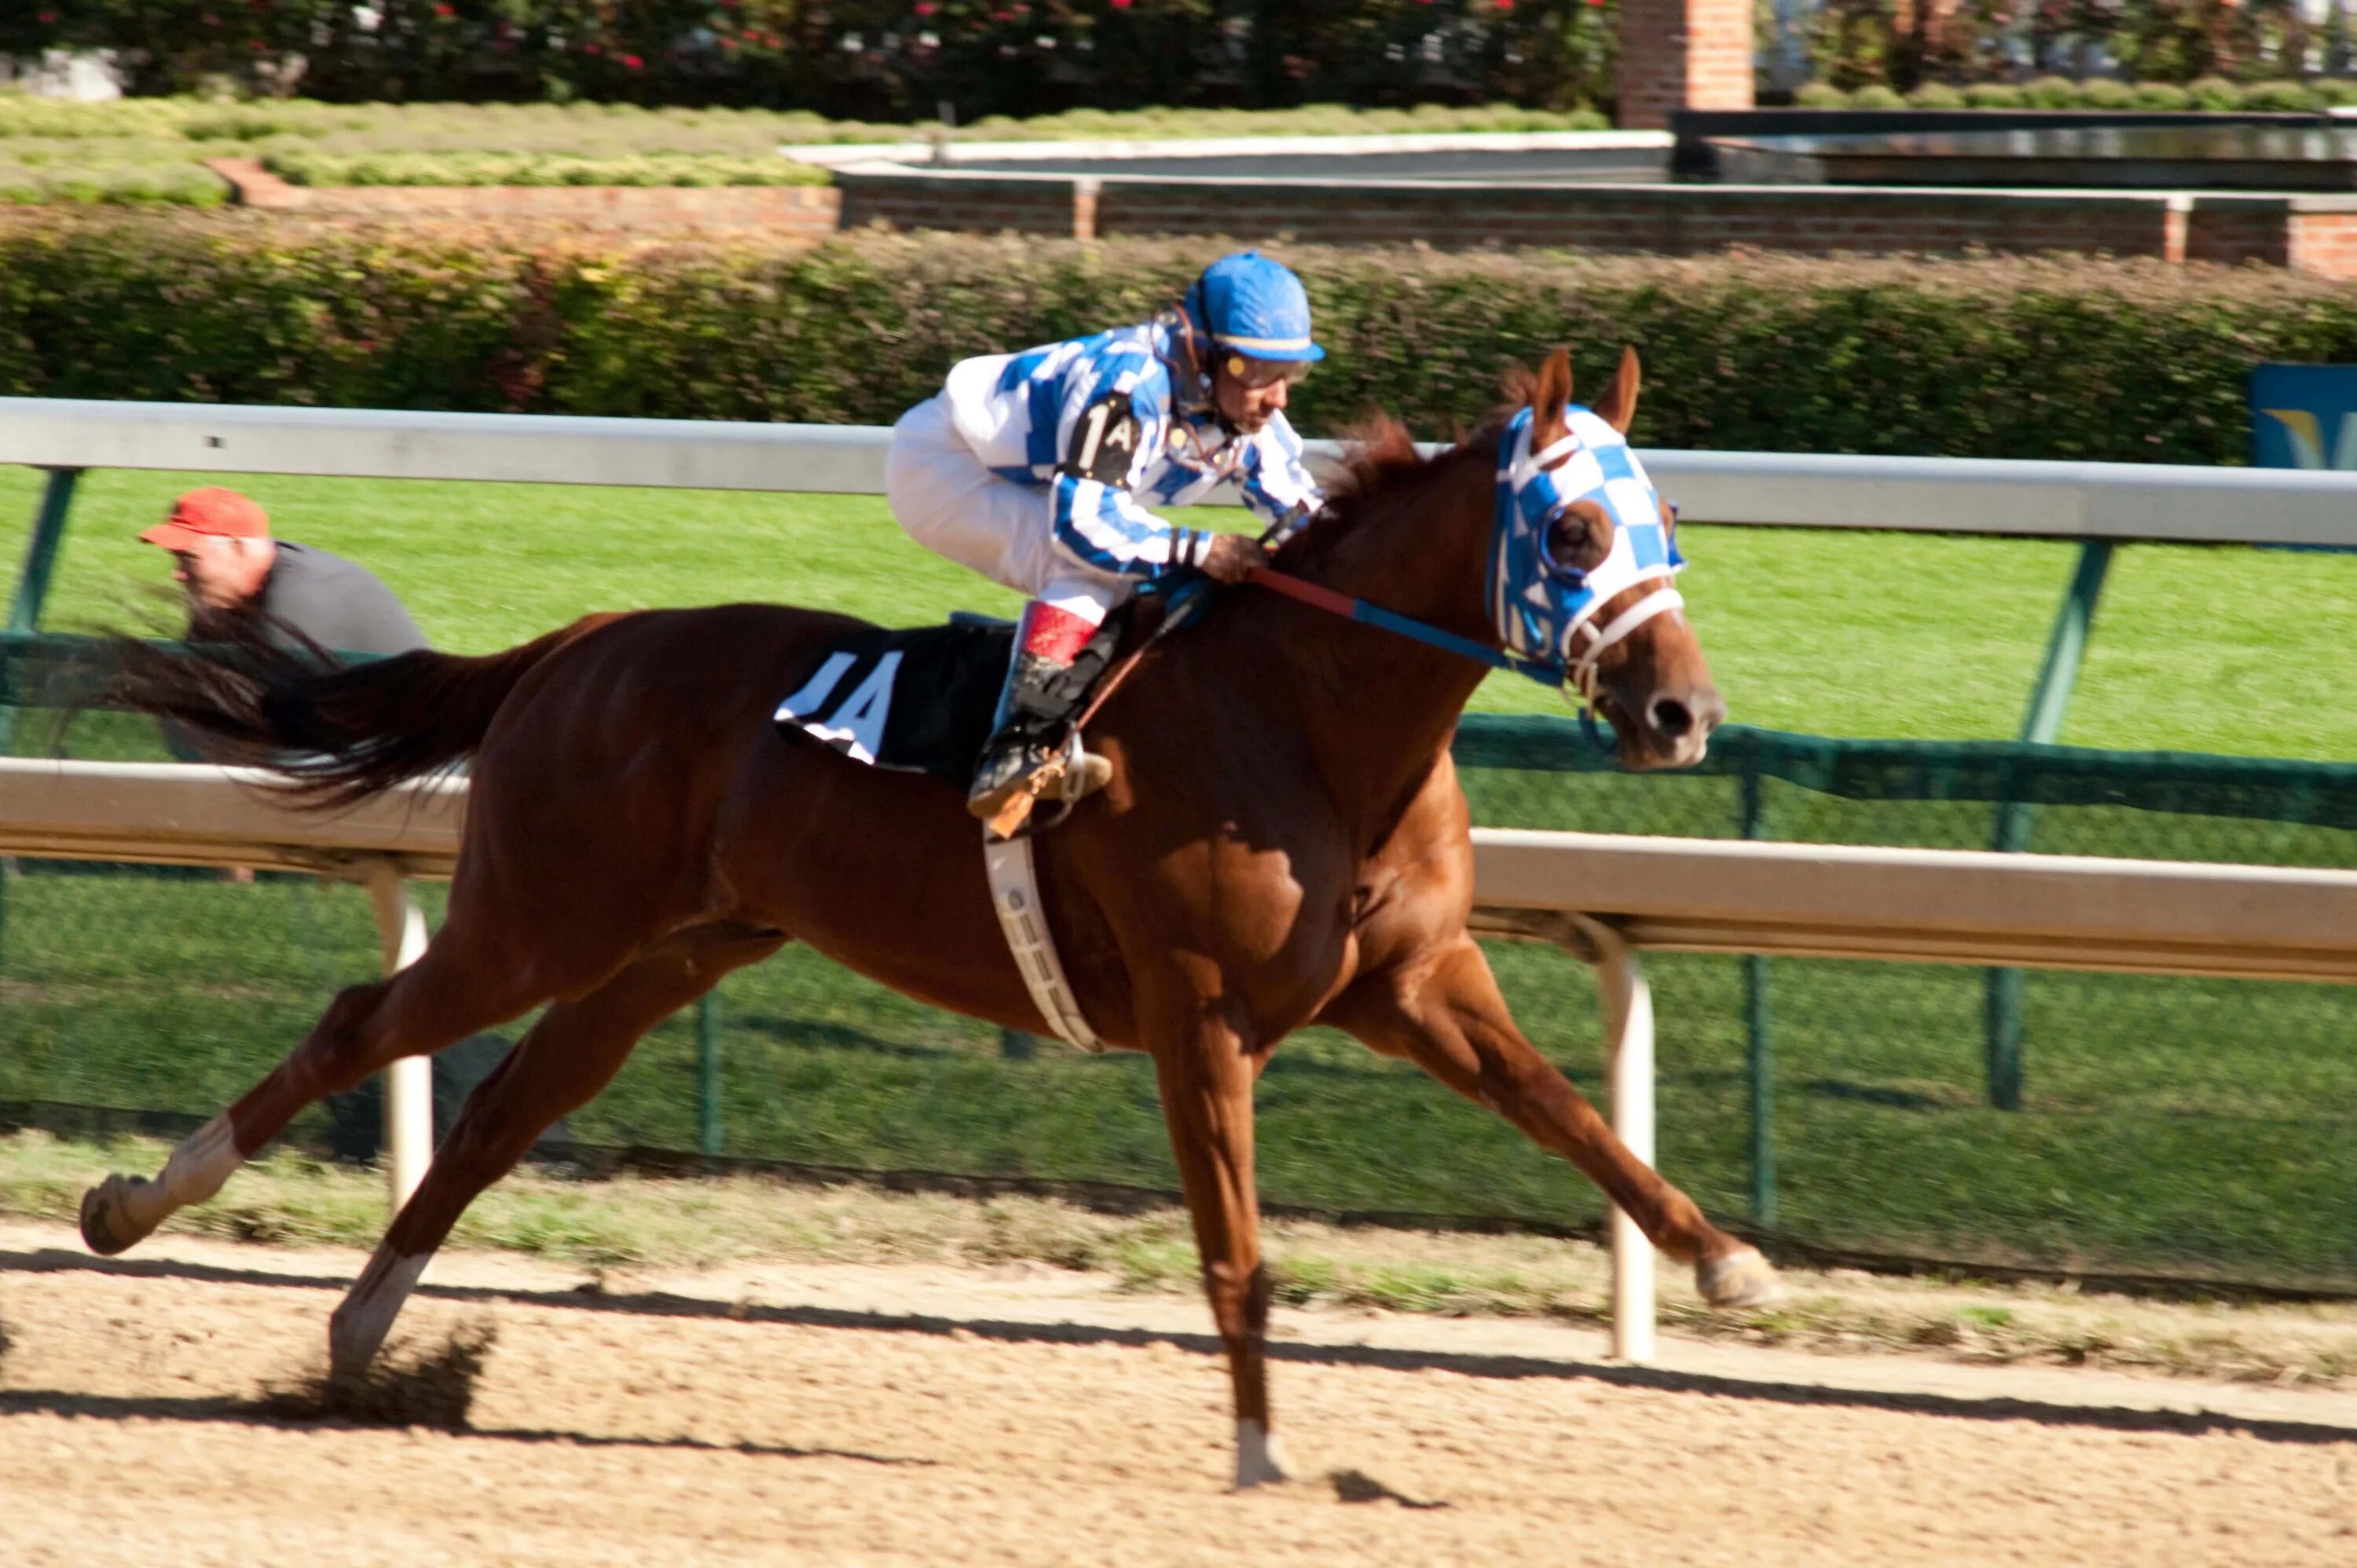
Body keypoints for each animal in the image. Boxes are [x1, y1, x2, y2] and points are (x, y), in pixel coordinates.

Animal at [82, 349, 1772, 1489]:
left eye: (1672, 517)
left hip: (666, 951)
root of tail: (581, 641)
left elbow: (1575, 1116)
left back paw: (365, 1335)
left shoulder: (1414, 977)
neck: (1312, 718)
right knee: (362, 1028)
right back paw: (136, 1206)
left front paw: (1725, 1263)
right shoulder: (1197, 1009)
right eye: (1571, 533)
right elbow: (1236, 1248)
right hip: (543, 918)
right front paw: (1257, 1457)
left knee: (502, 1107)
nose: (1683, 712)